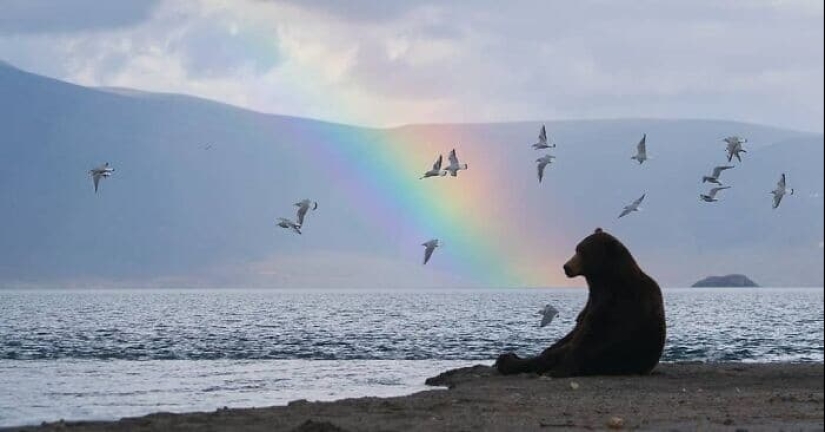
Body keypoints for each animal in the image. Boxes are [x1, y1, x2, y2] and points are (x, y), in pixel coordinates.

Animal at [495, 228, 666, 377]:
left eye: (583, 252)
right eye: (576, 249)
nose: (566, 267)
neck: (606, 282)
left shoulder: (619, 307)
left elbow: (591, 339)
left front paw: (556, 371)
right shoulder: (591, 304)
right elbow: (575, 331)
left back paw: (508, 360)